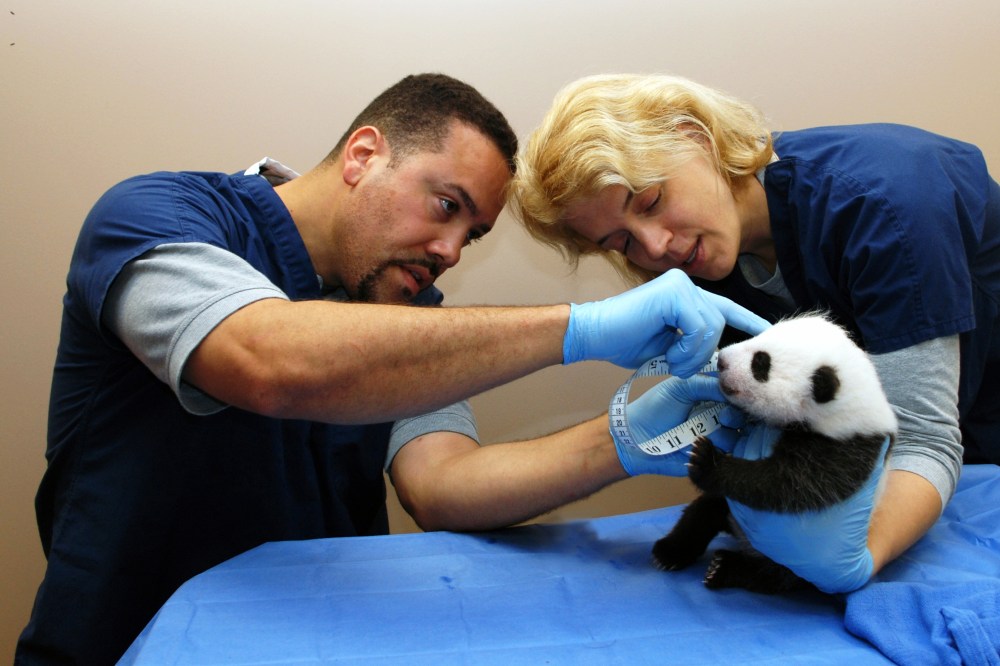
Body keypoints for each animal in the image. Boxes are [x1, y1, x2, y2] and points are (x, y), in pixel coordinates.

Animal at [651, 313, 898, 594]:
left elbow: (786, 483)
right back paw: (669, 552)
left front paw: (707, 461)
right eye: (760, 336)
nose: (722, 360)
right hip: (724, 507)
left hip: (797, 564)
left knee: (775, 577)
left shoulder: (844, 449)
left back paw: (723, 568)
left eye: (761, 362)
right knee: (702, 512)